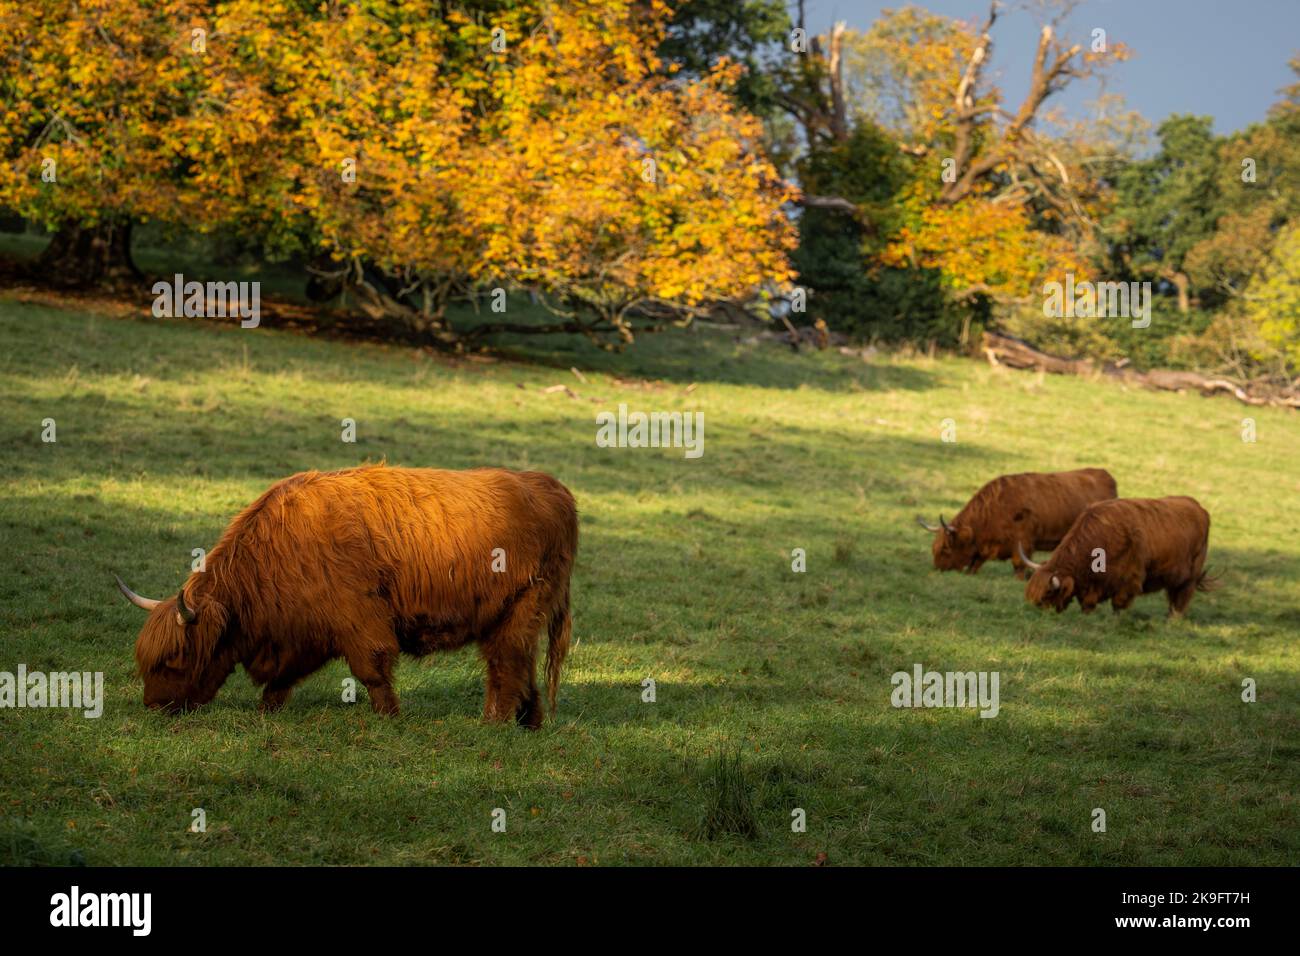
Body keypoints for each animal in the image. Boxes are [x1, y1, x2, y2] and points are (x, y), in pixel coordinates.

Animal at [114, 465, 578, 728]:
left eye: (174, 658)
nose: (153, 707)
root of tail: (550, 488)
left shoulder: (359, 620)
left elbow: (372, 670)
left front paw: (390, 718)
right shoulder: (303, 631)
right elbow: (283, 680)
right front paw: (266, 712)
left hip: (519, 609)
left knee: (505, 666)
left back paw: (493, 724)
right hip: (513, 617)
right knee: (522, 665)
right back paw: (529, 723)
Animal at [917, 468, 1118, 577]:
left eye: (945, 548)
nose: (936, 569)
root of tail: (1105, 475)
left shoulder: (1023, 542)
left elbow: (1019, 565)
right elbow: (975, 563)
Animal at [1019, 496, 1213, 616]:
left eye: (1047, 594)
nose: (1035, 612)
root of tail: (1198, 508)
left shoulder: (1129, 580)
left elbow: (1118, 604)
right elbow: (1087, 605)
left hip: (1189, 577)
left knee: (1181, 598)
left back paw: (1173, 620)